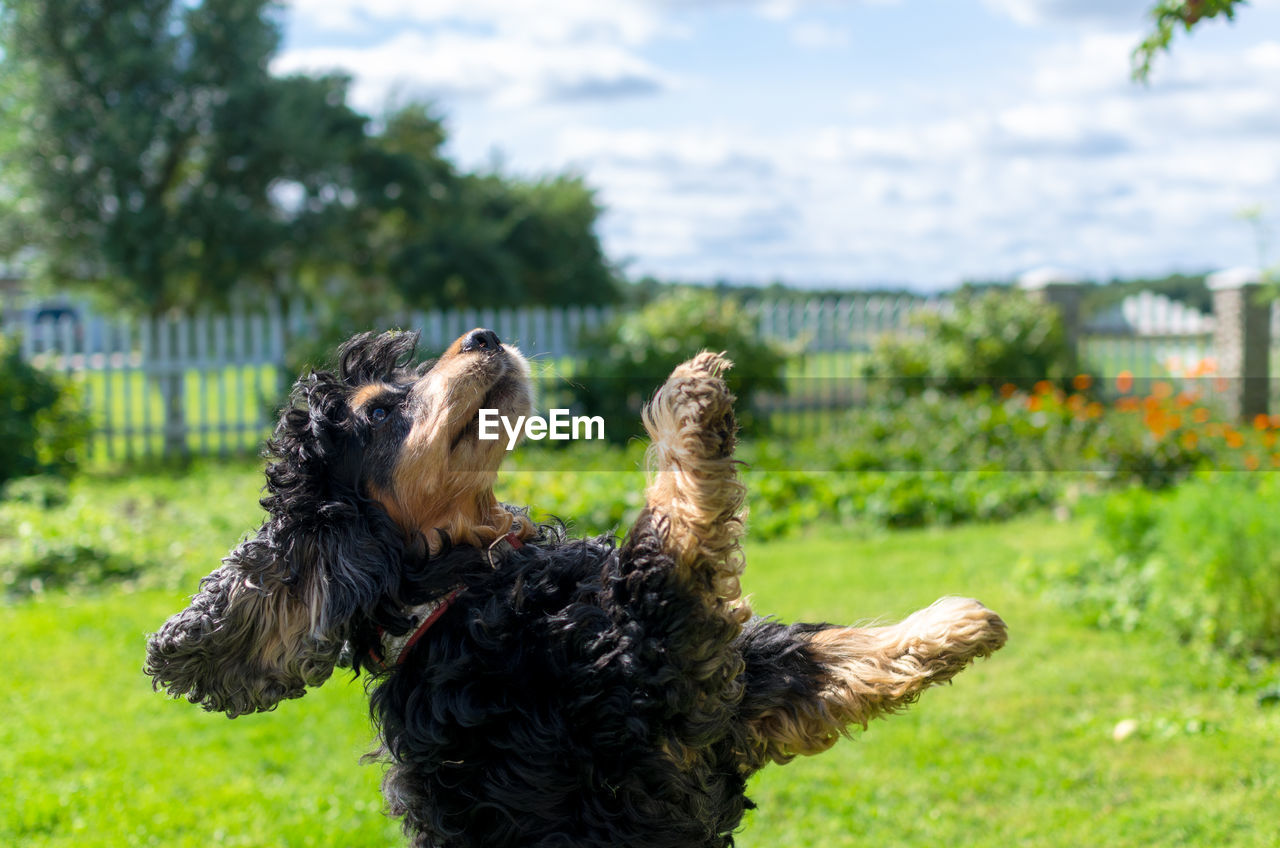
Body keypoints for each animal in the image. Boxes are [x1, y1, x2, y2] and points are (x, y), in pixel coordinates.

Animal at [147, 330, 1008, 848]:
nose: (485, 336)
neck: (470, 585)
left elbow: (826, 653)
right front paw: (691, 401)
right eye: (383, 408)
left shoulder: (722, 700)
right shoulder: (650, 671)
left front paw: (958, 625)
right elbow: (667, 527)